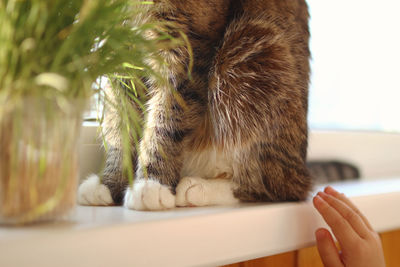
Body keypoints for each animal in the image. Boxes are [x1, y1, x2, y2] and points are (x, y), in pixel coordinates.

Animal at [77, 0, 312, 211]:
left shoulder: (185, 46)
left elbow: (165, 121)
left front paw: (152, 184)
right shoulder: (121, 49)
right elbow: (122, 127)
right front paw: (109, 184)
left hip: (250, 50)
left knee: (275, 187)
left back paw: (197, 189)